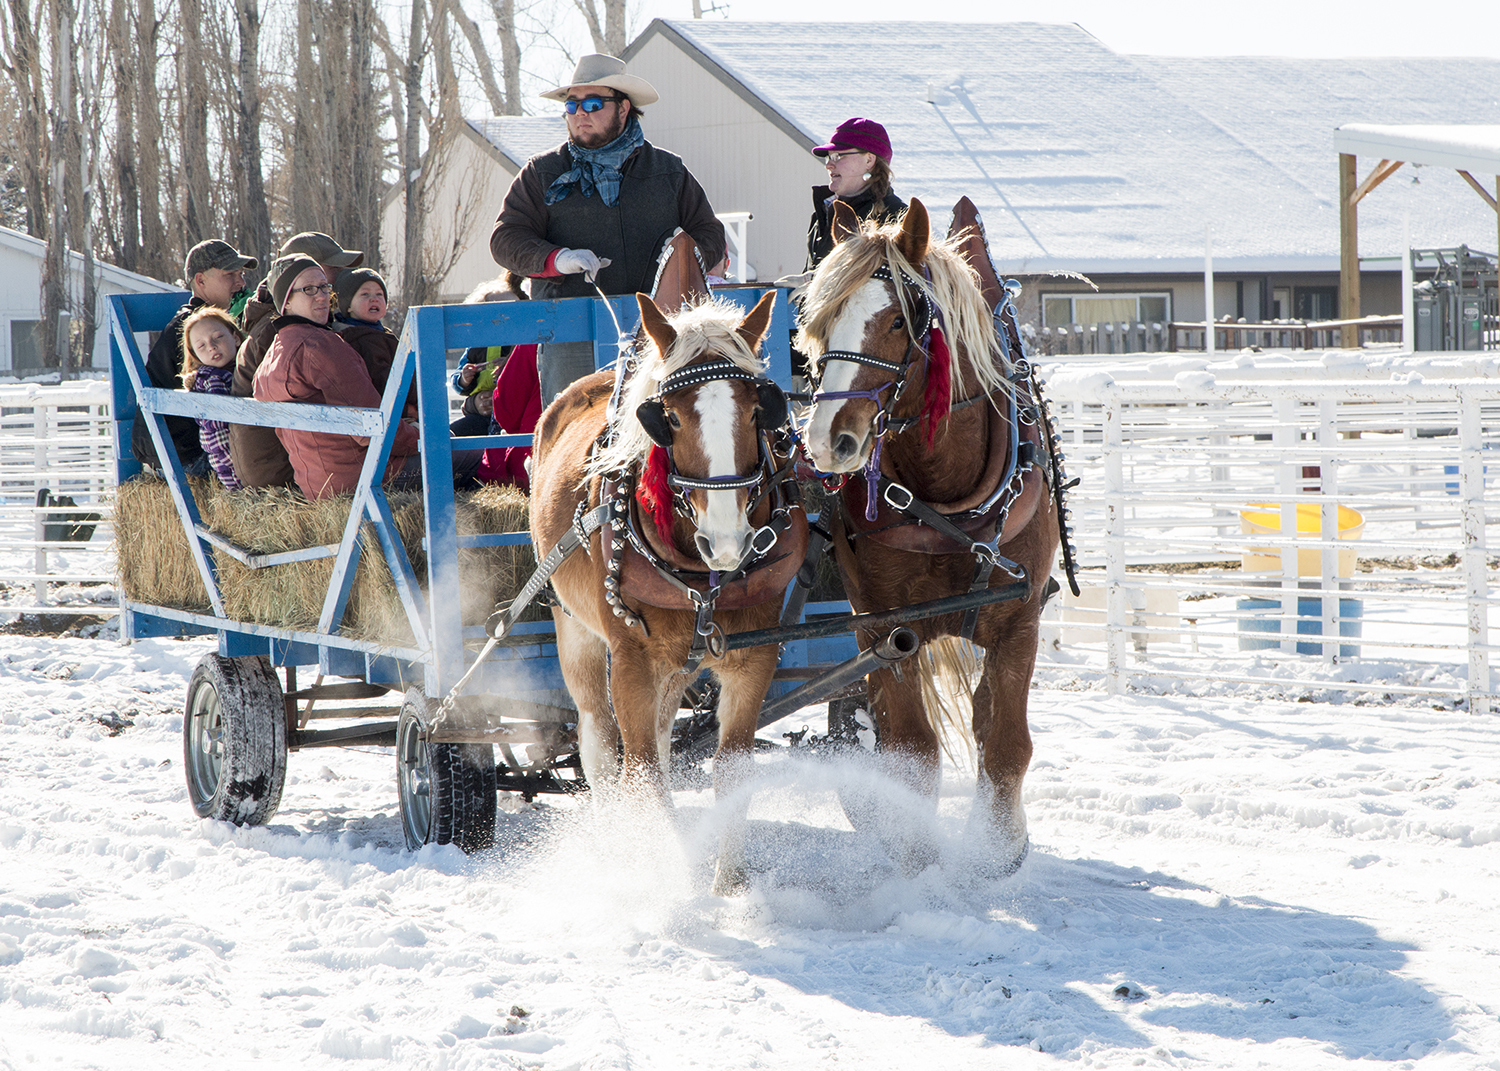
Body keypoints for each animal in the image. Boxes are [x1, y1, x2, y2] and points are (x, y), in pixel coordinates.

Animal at [534, 288, 804, 888]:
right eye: (671, 418)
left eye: (759, 411)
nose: (726, 541)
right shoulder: (632, 660)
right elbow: (640, 773)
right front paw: (665, 872)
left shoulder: (754, 658)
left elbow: (732, 771)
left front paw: (729, 882)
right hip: (575, 630)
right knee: (601, 750)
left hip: (679, 661)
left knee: (657, 739)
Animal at [804, 196, 1062, 870]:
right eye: (820, 321)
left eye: (898, 321)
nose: (826, 441)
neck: (950, 504)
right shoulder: (882, 628)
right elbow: (911, 750)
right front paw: (912, 851)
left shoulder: (1019, 616)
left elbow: (1005, 740)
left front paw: (999, 848)